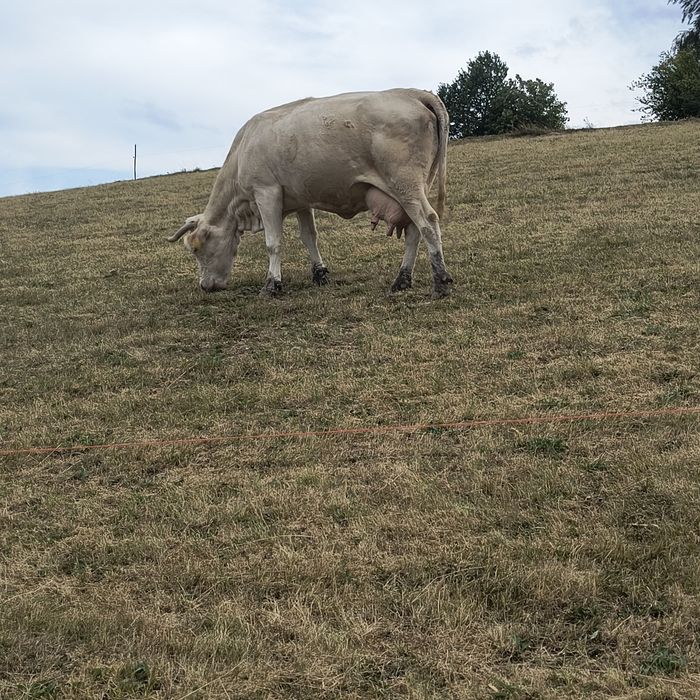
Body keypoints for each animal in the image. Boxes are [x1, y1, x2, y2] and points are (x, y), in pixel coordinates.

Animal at [168, 88, 453, 298]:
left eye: (197, 249)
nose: (205, 286)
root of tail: (412, 92)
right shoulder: (301, 200)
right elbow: (309, 237)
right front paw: (319, 273)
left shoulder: (266, 192)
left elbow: (273, 243)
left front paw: (272, 284)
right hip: (416, 187)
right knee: (414, 230)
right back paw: (402, 280)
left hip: (406, 184)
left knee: (428, 222)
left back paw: (440, 281)